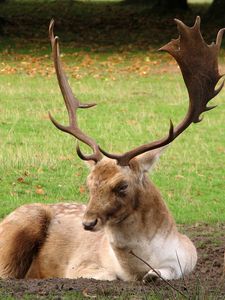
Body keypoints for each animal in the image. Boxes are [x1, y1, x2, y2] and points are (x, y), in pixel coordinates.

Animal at [0, 17, 223, 282]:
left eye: (122, 185)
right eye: (89, 183)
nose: (87, 223)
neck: (135, 268)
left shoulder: (188, 258)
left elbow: (162, 273)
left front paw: (153, 275)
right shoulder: (78, 265)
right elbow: (107, 275)